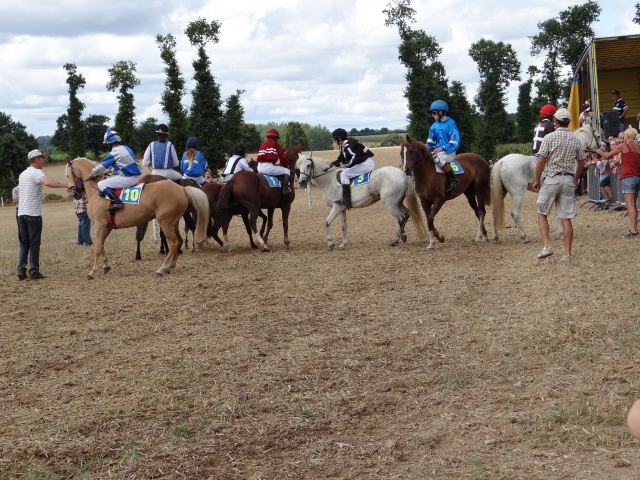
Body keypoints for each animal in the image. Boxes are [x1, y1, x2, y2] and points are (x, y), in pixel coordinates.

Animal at [66, 158, 209, 278]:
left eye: (68, 174)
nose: (75, 193)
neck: (97, 192)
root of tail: (182, 188)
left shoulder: (100, 225)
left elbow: (97, 247)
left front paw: (92, 271)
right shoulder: (107, 226)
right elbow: (101, 245)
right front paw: (106, 266)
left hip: (166, 223)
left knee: (173, 243)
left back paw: (162, 268)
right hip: (173, 223)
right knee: (178, 241)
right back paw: (170, 266)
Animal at [298, 152, 428, 249]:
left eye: (308, 165)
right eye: (299, 166)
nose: (301, 182)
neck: (329, 179)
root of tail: (401, 173)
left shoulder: (336, 207)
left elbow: (327, 222)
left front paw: (330, 243)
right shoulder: (341, 208)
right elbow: (343, 225)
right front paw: (344, 243)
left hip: (390, 204)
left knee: (400, 218)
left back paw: (395, 240)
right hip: (398, 203)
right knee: (406, 214)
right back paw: (402, 236)